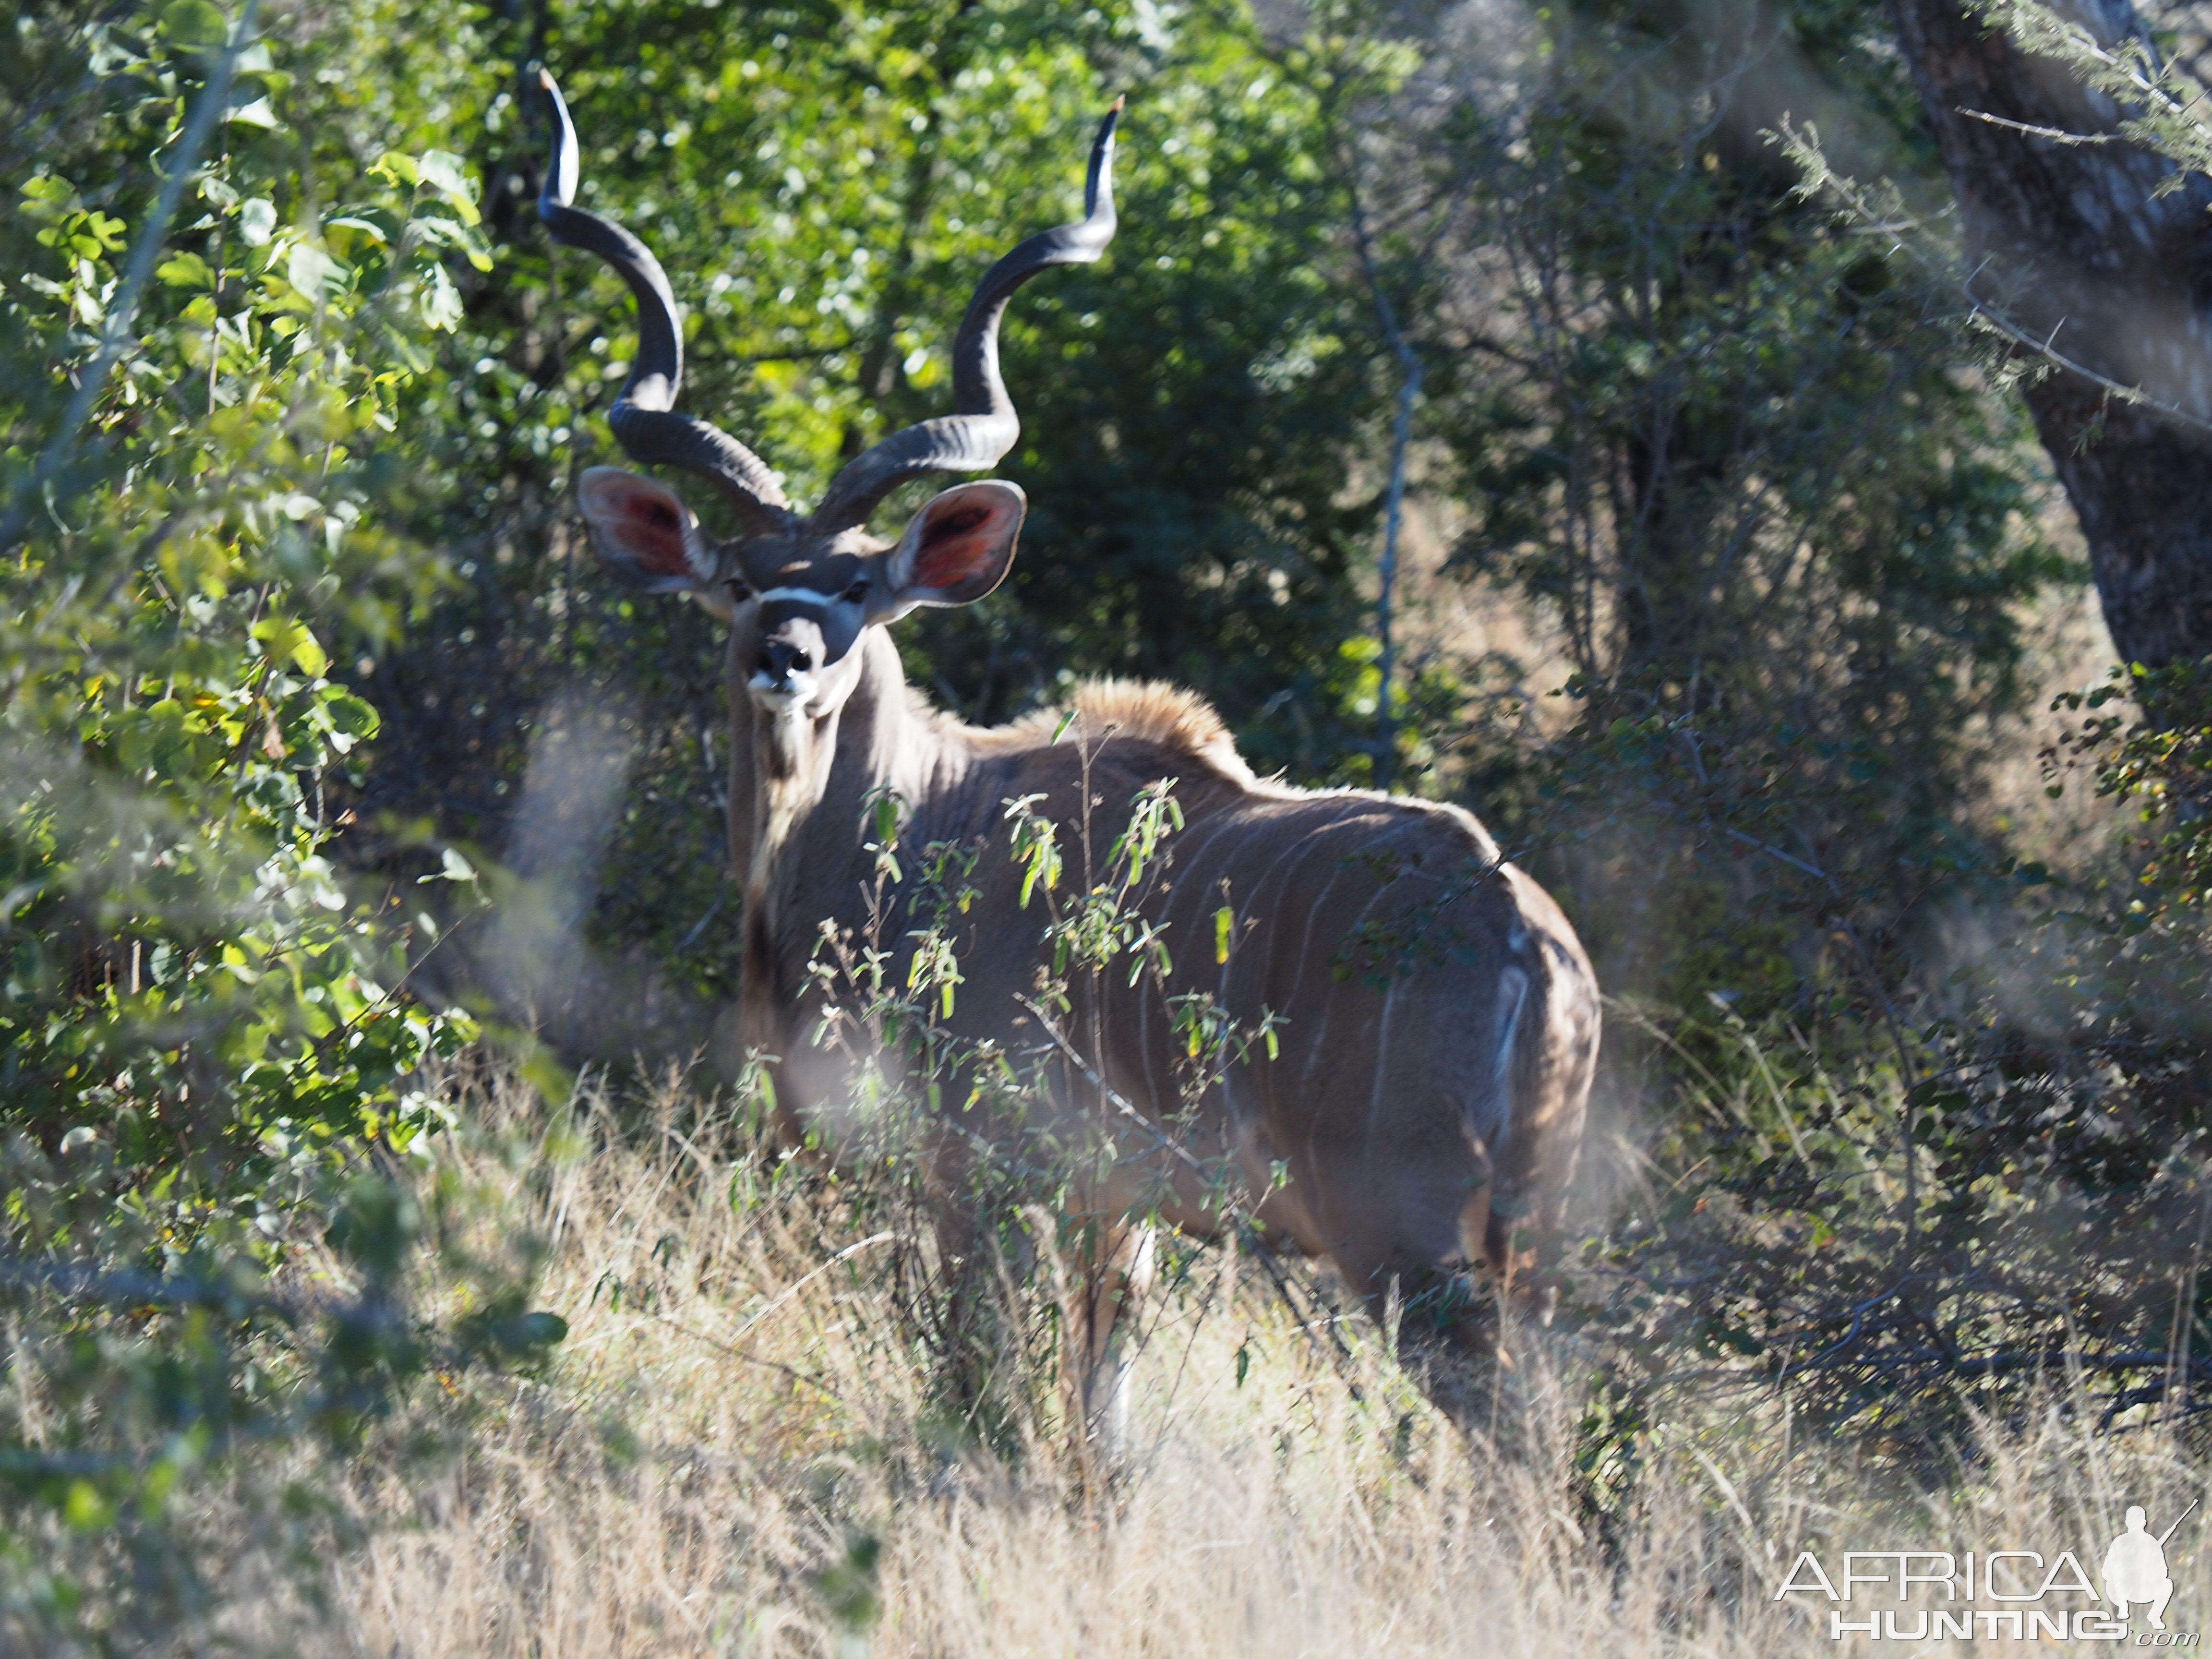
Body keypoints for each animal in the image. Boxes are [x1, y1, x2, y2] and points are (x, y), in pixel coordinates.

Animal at [535, 71, 1610, 1433]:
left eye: (857, 587)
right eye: (736, 577)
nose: (781, 653)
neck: (923, 818)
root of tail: (1535, 941)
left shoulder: (983, 1172)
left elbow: (979, 1379)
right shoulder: (1121, 1212)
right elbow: (1104, 1409)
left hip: (1406, 1242)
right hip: (1528, 1248)